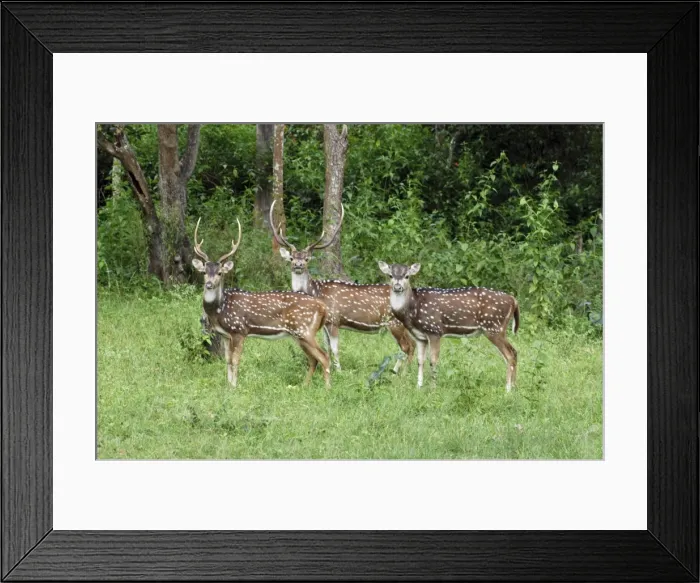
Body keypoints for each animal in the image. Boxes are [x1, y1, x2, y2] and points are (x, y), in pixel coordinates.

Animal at [191, 218, 331, 388]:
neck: (220, 310)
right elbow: (227, 361)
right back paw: (304, 386)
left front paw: (234, 387)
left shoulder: (239, 330)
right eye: (204, 272)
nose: (209, 284)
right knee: (313, 359)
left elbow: (235, 360)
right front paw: (228, 386)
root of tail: (323, 307)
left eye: (219, 273)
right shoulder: (224, 334)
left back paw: (328, 388)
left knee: (324, 356)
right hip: (299, 334)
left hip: (305, 330)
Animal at [270, 201, 415, 373]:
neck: (316, 291)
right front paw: (330, 369)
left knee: (407, 347)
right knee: (410, 345)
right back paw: (396, 370)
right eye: (291, 258)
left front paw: (339, 371)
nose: (298, 265)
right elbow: (326, 347)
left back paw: (402, 373)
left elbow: (334, 348)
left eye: (306, 259)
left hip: (395, 323)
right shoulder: (325, 323)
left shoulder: (334, 320)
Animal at [377, 261, 520, 391]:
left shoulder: (434, 330)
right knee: (514, 352)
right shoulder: (420, 337)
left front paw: (433, 389)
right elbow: (420, 361)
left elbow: (433, 360)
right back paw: (513, 387)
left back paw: (508, 389)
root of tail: (514, 300)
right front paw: (419, 387)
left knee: (510, 354)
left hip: (494, 327)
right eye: (390, 275)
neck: (413, 310)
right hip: (496, 329)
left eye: (407, 276)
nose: (397, 287)